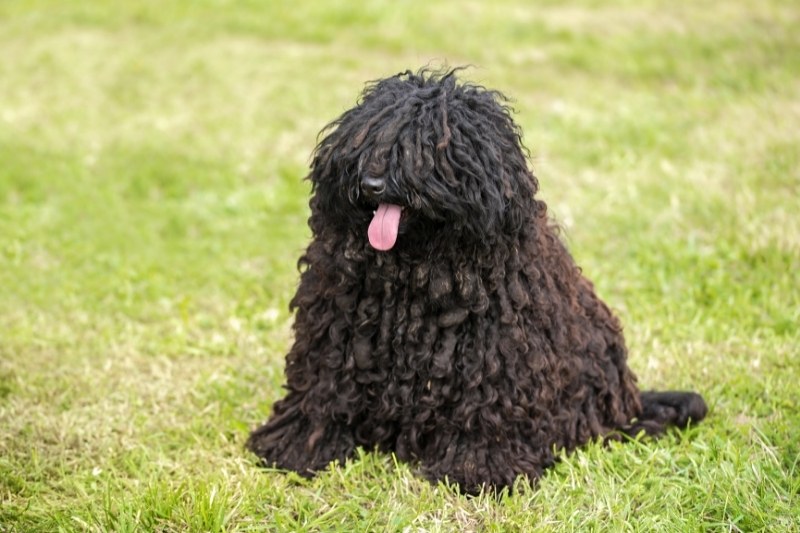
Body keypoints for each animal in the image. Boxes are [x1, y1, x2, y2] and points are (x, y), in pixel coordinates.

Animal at [248, 68, 708, 492]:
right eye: (367, 141)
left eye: (425, 149)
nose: (372, 183)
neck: (414, 273)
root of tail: (628, 400)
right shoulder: (334, 338)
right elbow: (320, 396)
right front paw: (297, 448)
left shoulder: (497, 360)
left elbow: (485, 416)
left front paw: (477, 471)